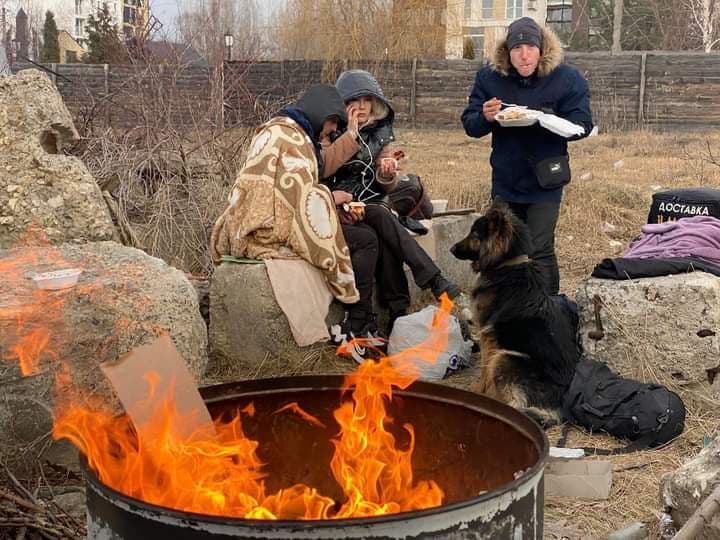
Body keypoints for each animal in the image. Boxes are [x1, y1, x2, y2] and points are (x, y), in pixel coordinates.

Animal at [452, 200, 584, 424]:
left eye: (475, 235)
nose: (451, 248)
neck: (507, 265)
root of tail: (559, 407)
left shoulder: (487, 337)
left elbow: (484, 371)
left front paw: (477, 392)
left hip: (506, 358)